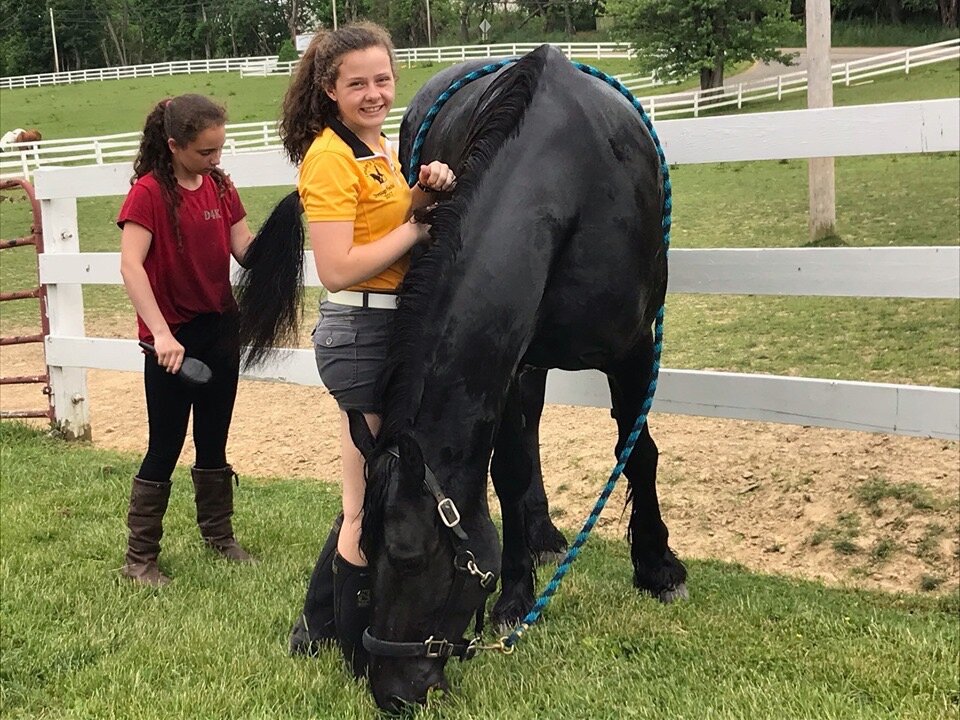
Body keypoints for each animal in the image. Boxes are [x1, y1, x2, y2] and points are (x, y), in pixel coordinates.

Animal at [240, 46, 688, 716]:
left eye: (409, 559)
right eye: (362, 562)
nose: (394, 691)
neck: (572, 184)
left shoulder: (633, 348)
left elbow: (638, 454)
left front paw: (657, 567)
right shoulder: (512, 358)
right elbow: (509, 471)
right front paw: (515, 596)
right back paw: (541, 535)